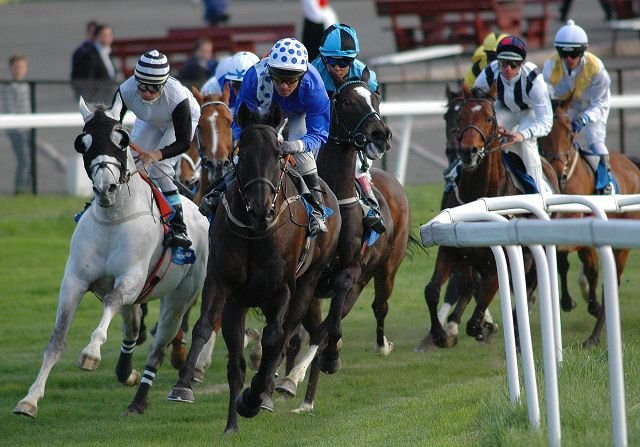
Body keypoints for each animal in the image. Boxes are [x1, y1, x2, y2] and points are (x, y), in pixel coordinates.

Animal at [168, 102, 342, 434]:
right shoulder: (224, 286)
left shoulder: (281, 290)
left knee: (286, 336)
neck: (255, 232)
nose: (262, 210)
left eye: (278, 155)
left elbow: (274, 339)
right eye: (243, 153)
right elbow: (207, 330)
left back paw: (270, 392)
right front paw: (185, 387)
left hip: (307, 285)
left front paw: (253, 398)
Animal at [276, 71, 410, 412]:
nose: (381, 134)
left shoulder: (349, 272)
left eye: (376, 97)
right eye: (347, 101)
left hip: (383, 271)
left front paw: (323, 362)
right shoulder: (309, 280)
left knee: (376, 307)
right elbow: (308, 330)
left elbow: (329, 330)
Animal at [424, 84, 560, 350]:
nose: (467, 151)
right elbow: (433, 290)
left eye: (489, 118)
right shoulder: (451, 249)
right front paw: (440, 334)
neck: (479, 197)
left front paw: (483, 327)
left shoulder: (499, 260)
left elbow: (480, 309)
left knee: (528, 287)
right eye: (458, 117)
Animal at [540, 98, 640, 348]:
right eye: (545, 134)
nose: (558, 170)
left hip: (620, 246)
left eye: (570, 132)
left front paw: (587, 301)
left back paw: (594, 336)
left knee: (611, 281)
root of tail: (632, 164)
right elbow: (565, 262)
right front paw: (569, 300)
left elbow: (586, 266)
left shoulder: (581, 227)